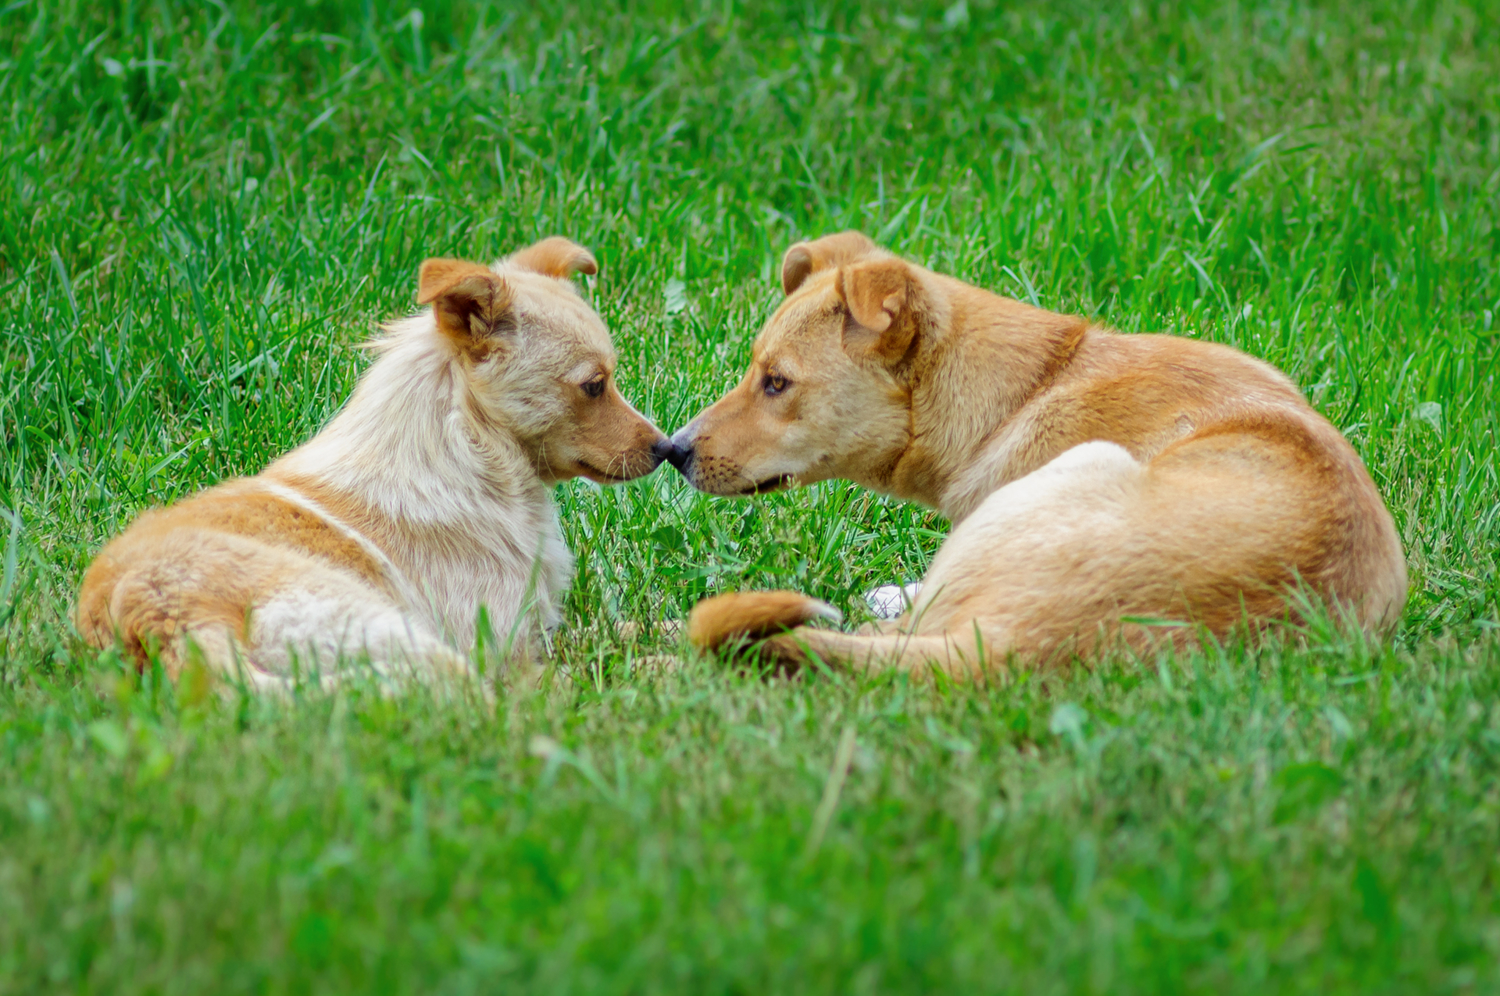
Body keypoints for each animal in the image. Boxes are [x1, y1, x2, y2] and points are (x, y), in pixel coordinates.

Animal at [76, 237, 669, 690]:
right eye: (594, 385)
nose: (667, 449)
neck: (468, 450)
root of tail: (156, 613)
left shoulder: (545, 628)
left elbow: (621, 630)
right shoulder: (508, 653)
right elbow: (597, 663)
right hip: (416, 646)